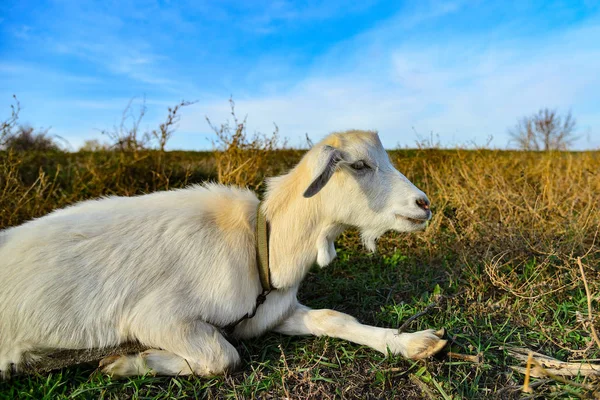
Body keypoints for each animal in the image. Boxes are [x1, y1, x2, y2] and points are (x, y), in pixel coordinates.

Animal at [0, 130, 446, 376]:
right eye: (358, 165)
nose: (424, 203)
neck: (261, 244)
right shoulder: (156, 318)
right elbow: (223, 357)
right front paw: (129, 363)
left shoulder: (267, 313)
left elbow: (333, 318)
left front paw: (414, 343)